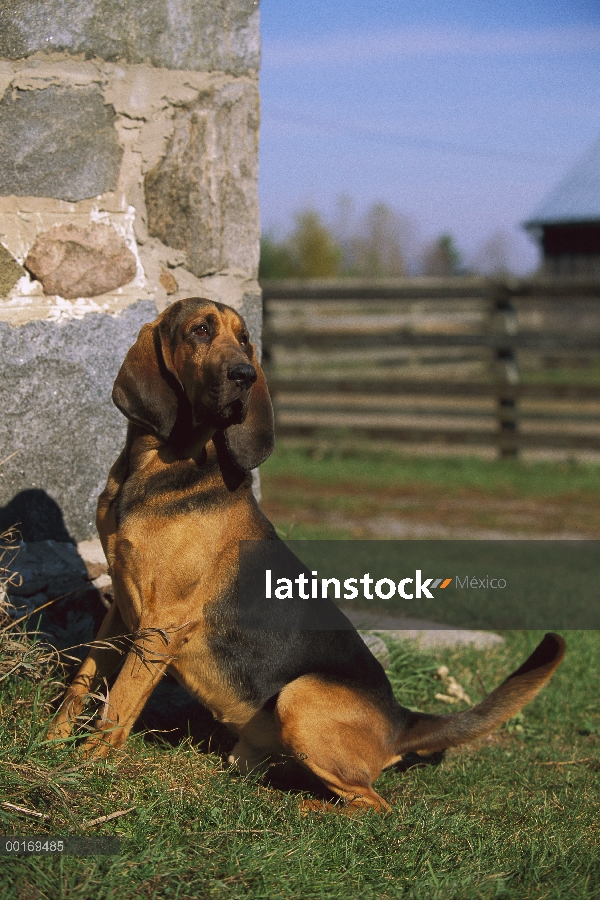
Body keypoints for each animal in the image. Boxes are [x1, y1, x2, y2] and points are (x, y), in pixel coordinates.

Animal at [49, 298, 564, 812]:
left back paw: (307, 809)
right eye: (200, 330)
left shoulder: (163, 624)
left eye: (244, 340)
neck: (154, 469)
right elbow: (83, 681)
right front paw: (52, 742)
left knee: (373, 804)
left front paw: (86, 764)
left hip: (301, 696)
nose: (245, 375)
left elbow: (118, 705)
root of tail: (399, 719)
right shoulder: (121, 608)